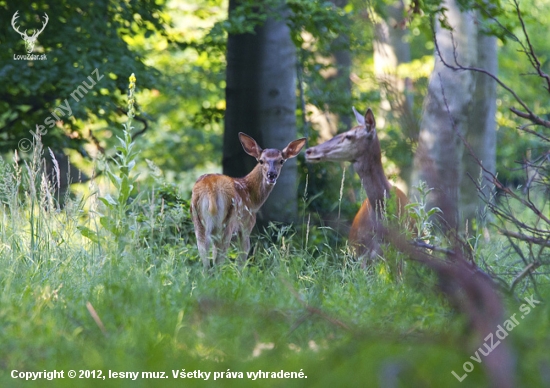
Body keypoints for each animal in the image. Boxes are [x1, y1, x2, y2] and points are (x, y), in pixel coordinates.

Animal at [193, 132, 306, 268]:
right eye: (261, 160)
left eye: (281, 161)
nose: (271, 174)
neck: (253, 199)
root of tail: (209, 189)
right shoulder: (246, 226)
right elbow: (242, 259)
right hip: (226, 225)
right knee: (218, 262)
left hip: (198, 223)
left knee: (205, 262)